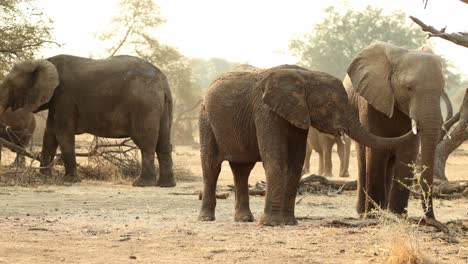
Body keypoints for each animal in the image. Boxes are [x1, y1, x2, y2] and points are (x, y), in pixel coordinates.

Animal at [0, 54, 175, 187]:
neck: (43, 60)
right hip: (163, 106)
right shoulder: (57, 101)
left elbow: (62, 134)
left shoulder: (64, 97)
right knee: (164, 143)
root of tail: (163, 82)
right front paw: (44, 177)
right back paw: (165, 185)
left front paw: (70, 180)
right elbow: (49, 135)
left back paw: (141, 184)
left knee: (145, 142)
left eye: (9, 85)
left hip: (143, 105)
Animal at [197, 63, 414, 225]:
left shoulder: (298, 116)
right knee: (211, 166)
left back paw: (244, 219)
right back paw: (206, 218)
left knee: (242, 169)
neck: (304, 76)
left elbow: (295, 163)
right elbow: (276, 160)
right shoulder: (266, 112)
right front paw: (271, 223)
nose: (415, 127)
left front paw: (288, 222)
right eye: (329, 105)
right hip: (205, 119)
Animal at [348, 41, 446, 220]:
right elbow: (376, 152)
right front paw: (373, 216)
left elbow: (408, 152)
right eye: (408, 88)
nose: (430, 219)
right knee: (364, 158)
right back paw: (363, 212)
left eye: (442, 89)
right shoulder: (370, 101)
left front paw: (397, 216)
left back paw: (385, 210)